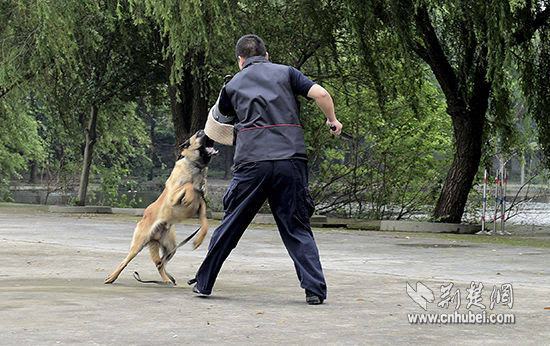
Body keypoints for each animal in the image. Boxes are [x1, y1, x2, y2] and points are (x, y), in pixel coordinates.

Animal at [106, 130, 219, 284]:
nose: (204, 131)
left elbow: (205, 224)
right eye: (198, 134)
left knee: (160, 263)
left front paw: (199, 240)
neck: (196, 167)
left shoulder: (201, 206)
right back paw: (112, 277)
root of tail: (155, 236)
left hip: (171, 248)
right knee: (126, 261)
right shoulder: (173, 197)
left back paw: (167, 280)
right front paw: (189, 196)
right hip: (138, 245)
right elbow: (188, 186)